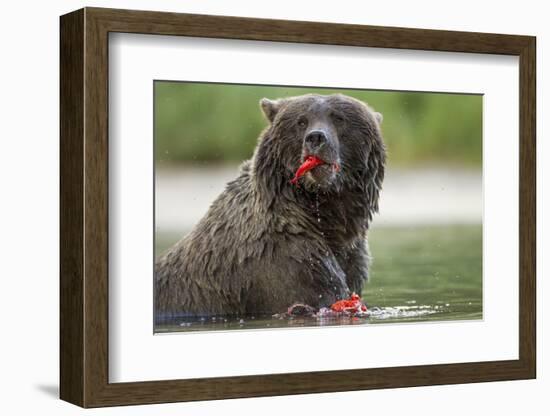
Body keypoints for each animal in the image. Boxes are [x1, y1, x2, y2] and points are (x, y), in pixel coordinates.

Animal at [155, 93, 388, 316]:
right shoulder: (286, 256)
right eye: (301, 121)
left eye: (339, 118)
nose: (316, 137)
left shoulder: (352, 258)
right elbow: (318, 294)